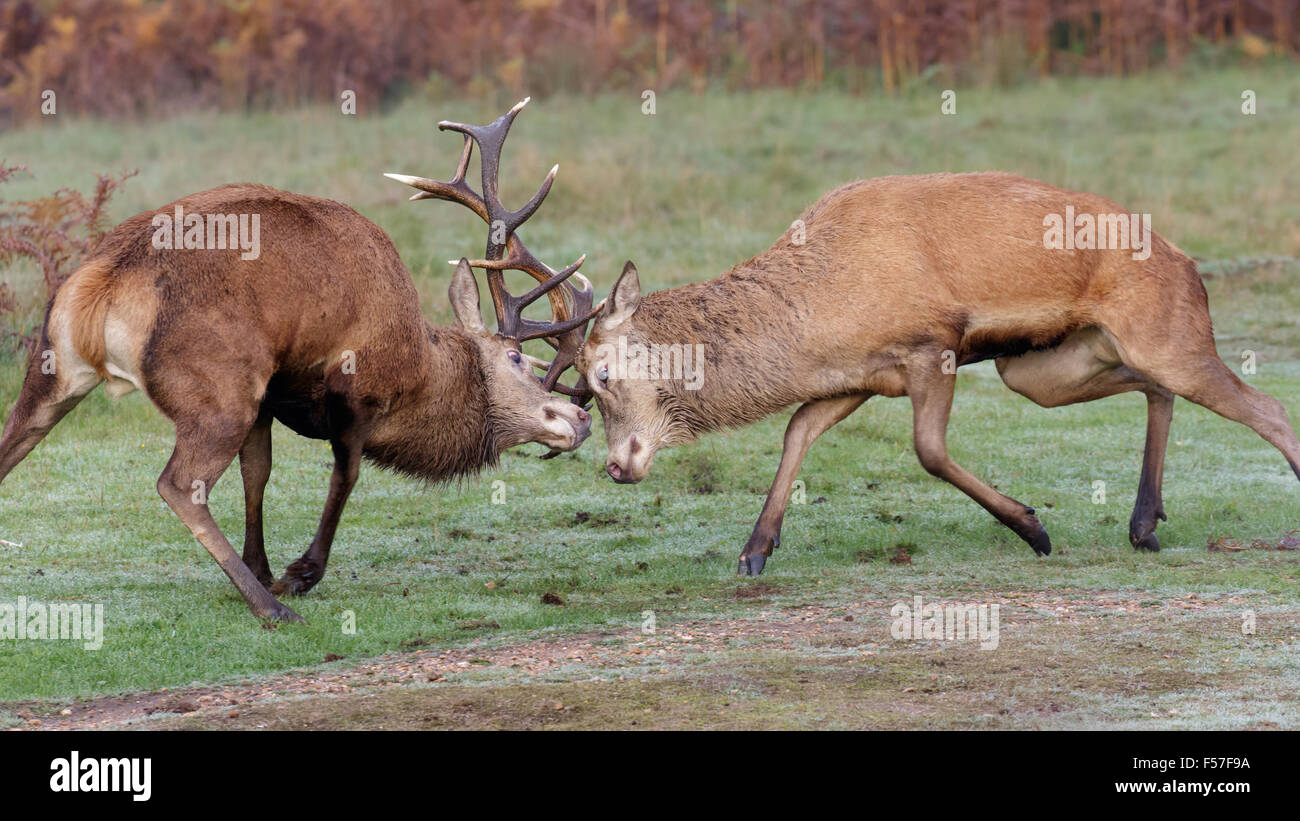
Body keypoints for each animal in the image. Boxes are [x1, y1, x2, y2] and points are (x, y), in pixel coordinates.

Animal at [0, 98, 598, 620]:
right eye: (517, 357)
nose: (581, 417)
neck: (418, 372)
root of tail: (102, 281)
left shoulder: (271, 396)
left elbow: (257, 472)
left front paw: (261, 567)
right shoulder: (355, 387)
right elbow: (345, 474)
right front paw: (298, 574)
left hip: (55, 369)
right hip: (218, 385)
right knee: (178, 483)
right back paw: (272, 610)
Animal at [579, 170, 1300, 574]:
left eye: (601, 375)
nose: (616, 465)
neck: (817, 317)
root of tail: (1188, 263)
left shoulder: (934, 345)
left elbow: (927, 449)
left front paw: (1033, 528)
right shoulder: (858, 378)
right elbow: (797, 431)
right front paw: (755, 550)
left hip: (1168, 333)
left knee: (1267, 405)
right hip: (1045, 368)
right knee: (1157, 387)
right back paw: (1144, 523)